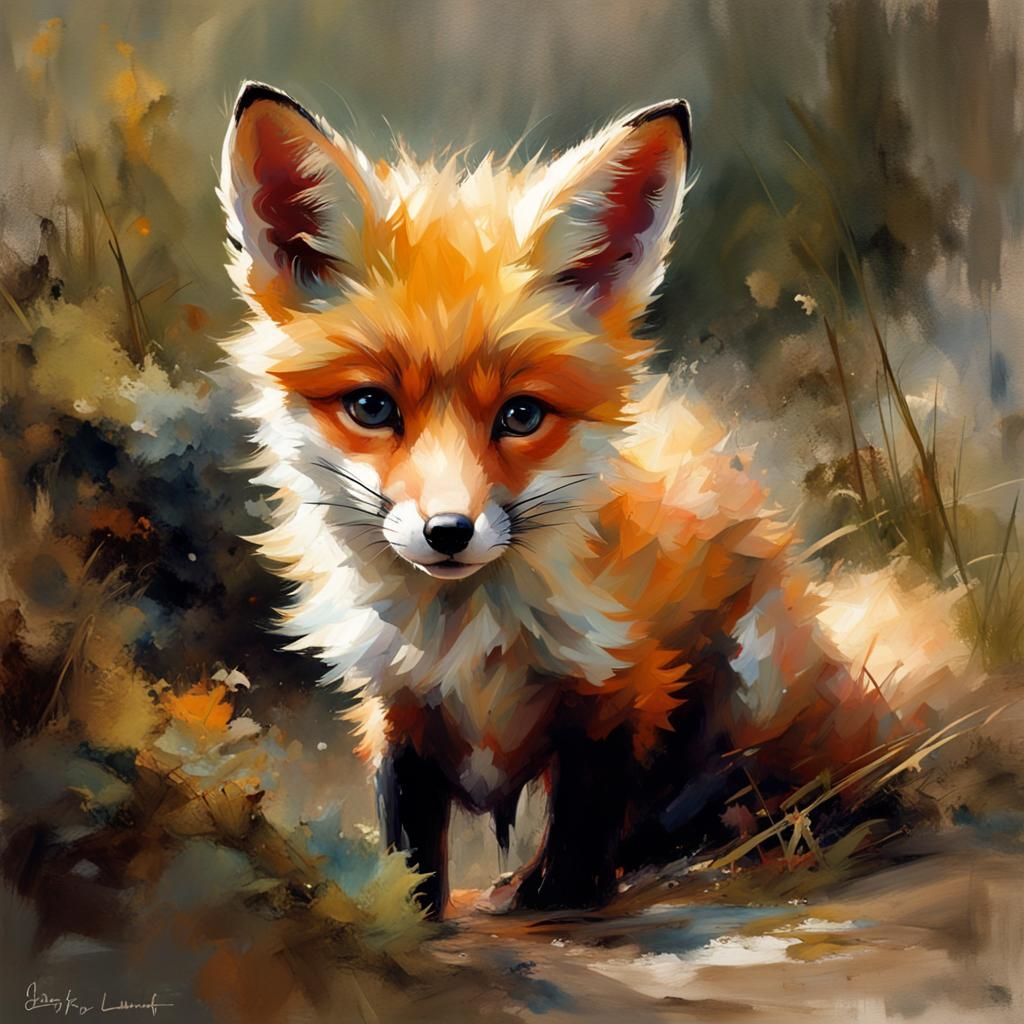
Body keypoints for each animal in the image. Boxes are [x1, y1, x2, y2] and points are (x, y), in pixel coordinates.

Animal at [217, 82, 922, 918]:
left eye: (521, 416)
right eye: (371, 407)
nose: (448, 532)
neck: (471, 636)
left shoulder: (619, 685)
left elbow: (585, 829)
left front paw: (560, 896)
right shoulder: (398, 706)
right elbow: (411, 847)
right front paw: (411, 916)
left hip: (757, 681)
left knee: (776, 799)